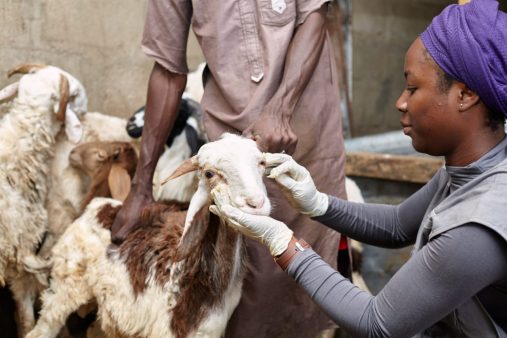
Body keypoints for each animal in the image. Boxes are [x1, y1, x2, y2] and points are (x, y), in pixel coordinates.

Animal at [25, 133, 272, 338]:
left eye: (261, 164)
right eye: (209, 173)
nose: (256, 204)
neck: (208, 280)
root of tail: (98, 207)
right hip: (67, 282)